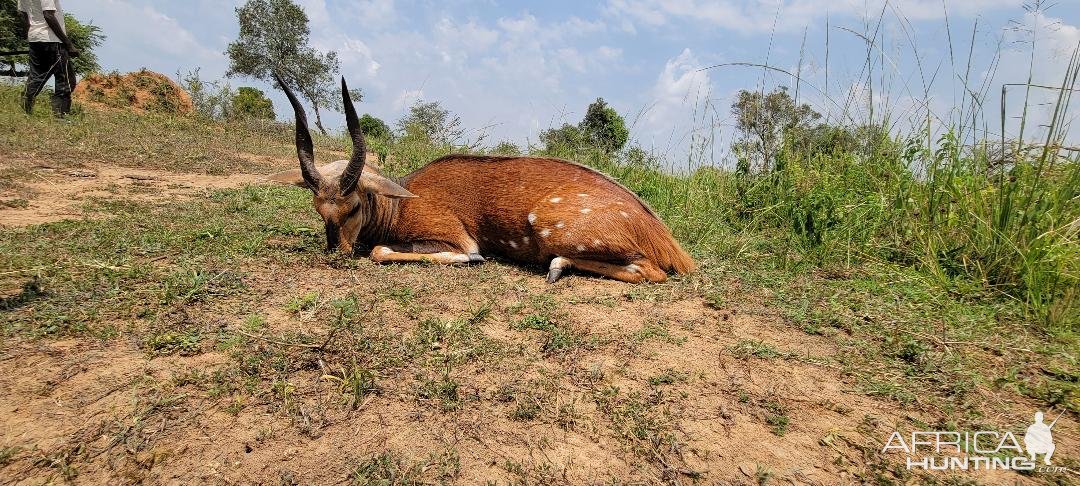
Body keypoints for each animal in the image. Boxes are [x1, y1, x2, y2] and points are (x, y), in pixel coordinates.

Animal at [265, 73, 695, 282]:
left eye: (353, 206)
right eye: (318, 208)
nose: (335, 252)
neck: (400, 201)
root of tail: (665, 239)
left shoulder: (452, 235)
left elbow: (381, 251)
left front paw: (470, 260)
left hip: (552, 228)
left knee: (652, 272)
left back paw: (557, 267)